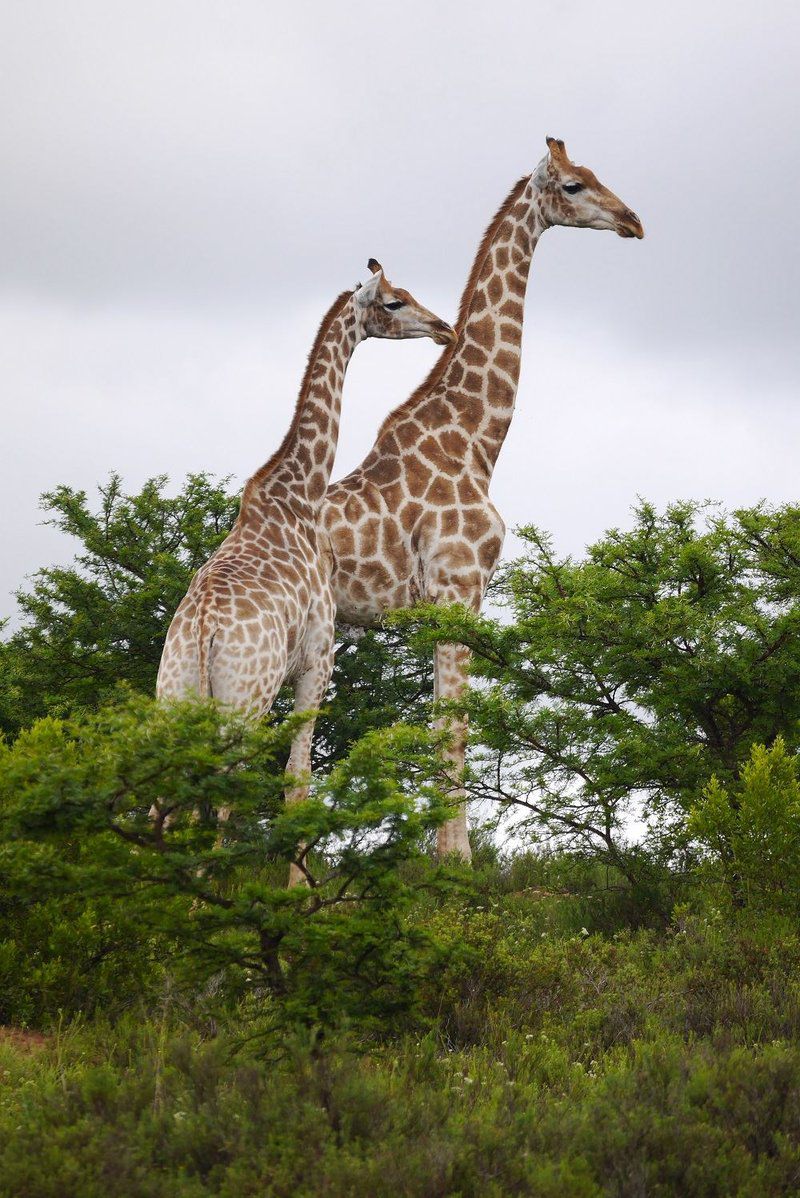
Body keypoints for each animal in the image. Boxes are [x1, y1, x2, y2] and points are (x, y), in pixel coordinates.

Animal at [158, 262, 455, 876]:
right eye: (394, 302)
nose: (443, 327)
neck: (298, 494)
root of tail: (201, 635)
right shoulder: (320, 654)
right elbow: (298, 780)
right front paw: (295, 887)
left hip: (171, 700)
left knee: (167, 801)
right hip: (243, 702)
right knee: (219, 793)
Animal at [318, 140, 641, 862]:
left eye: (600, 174)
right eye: (574, 186)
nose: (633, 220)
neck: (475, 441)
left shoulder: (461, 598)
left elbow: (448, 725)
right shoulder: (456, 589)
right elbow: (453, 728)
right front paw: (455, 866)